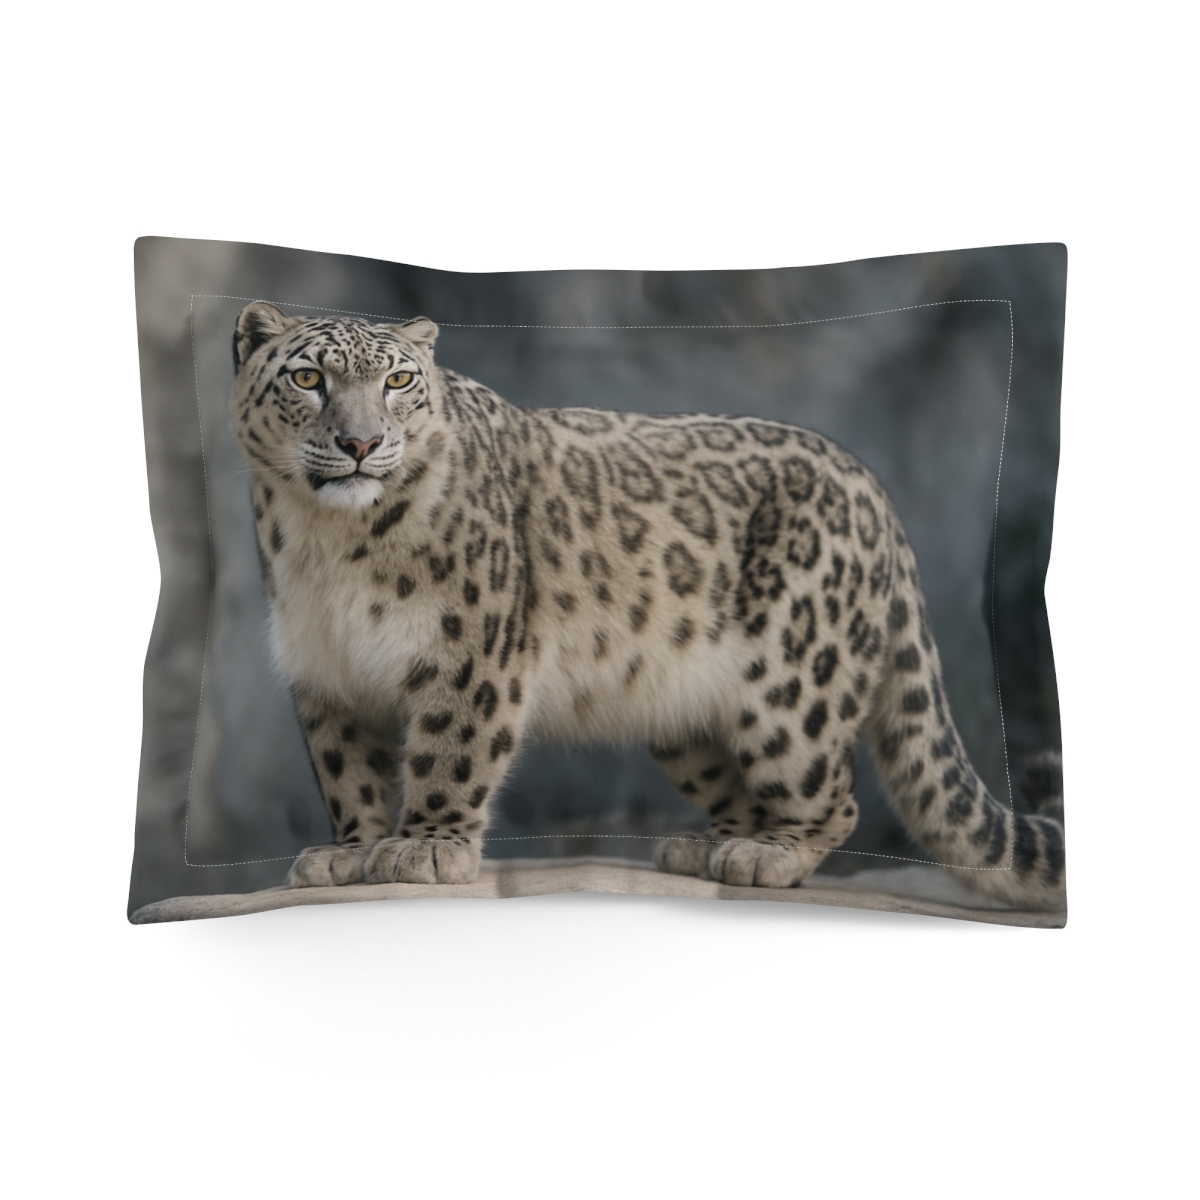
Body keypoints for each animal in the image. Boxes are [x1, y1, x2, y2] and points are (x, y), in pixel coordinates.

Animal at [229, 302, 1066, 909]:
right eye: (308, 378)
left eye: (399, 382)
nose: (361, 442)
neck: (328, 543)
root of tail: (876, 493)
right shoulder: (325, 672)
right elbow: (348, 774)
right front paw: (347, 853)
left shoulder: (469, 650)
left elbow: (449, 750)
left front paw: (425, 845)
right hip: (686, 718)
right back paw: (704, 847)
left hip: (794, 688)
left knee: (831, 795)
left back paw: (765, 856)